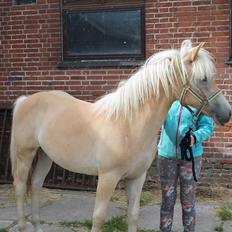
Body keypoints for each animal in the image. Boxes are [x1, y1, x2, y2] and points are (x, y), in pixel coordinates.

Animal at [10, 40, 230, 232]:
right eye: (203, 79)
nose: (227, 113)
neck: (129, 124)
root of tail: (25, 100)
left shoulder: (137, 178)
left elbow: (133, 215)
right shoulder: (108, 178)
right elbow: (98, 218)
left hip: (45, 155)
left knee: (36, 185)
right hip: (25, 154)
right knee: (20, 188)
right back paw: (22, 226)